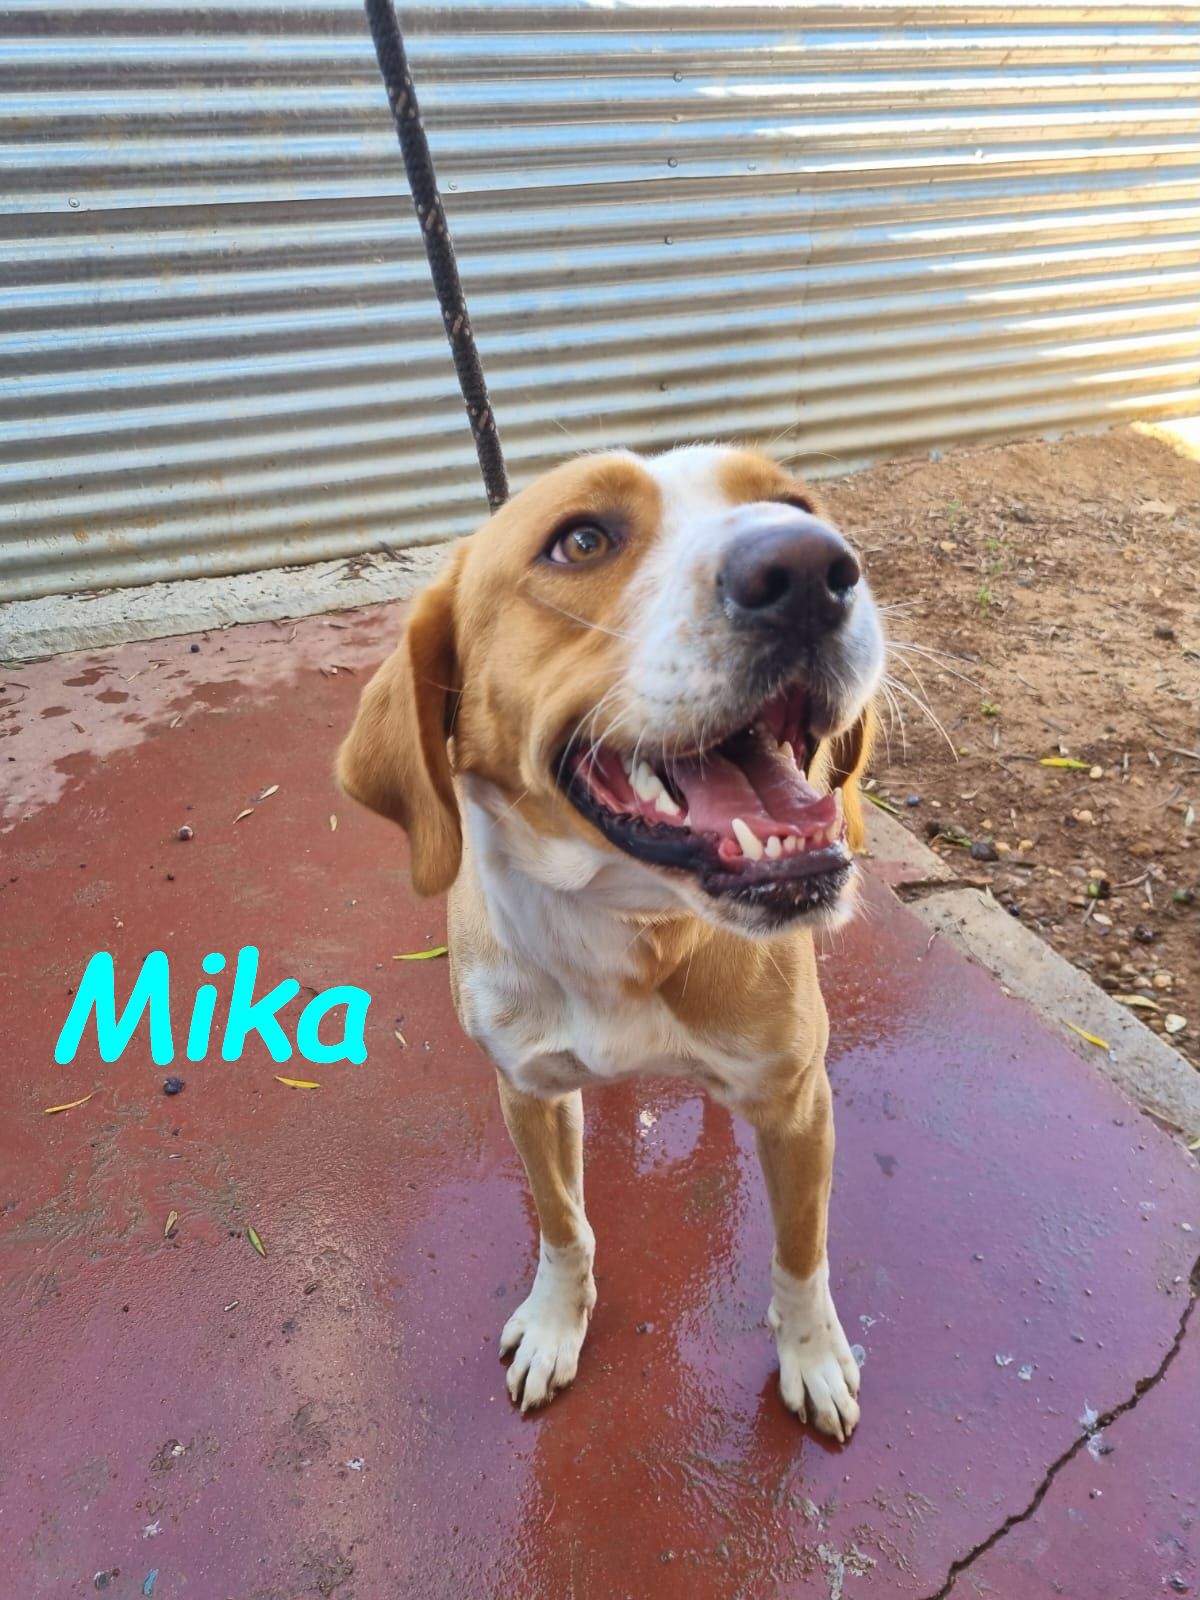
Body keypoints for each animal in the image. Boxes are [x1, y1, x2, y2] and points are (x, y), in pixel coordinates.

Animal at [337, 444, 883, 1441]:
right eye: (581, 540)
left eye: (794, 505)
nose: (808, 571)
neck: (627, 923)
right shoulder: (527, 1092)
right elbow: (565, 1226)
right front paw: (559, 1322)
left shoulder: (798, 1103)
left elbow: (801, 1252)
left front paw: (813, 1354)